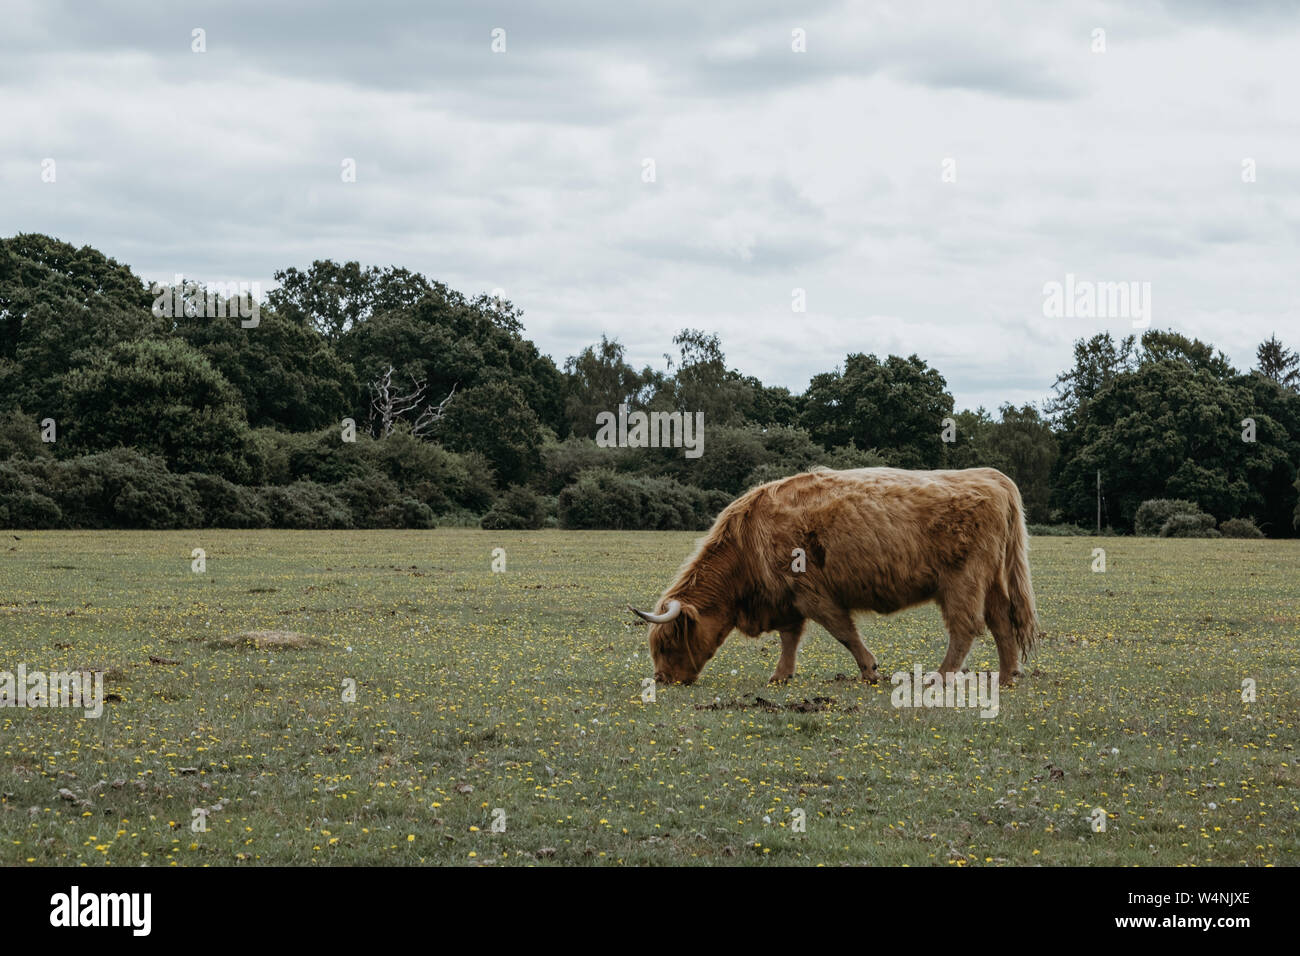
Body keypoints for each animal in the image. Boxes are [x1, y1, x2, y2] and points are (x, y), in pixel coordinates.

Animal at [629, 467, 1041, 688]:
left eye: (667, 643)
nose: (662, 679)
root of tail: (991, 477)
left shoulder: (812, 593)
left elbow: (843, 632)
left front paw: (870, 670)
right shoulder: (788, 600)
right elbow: (790, 638)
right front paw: (781, 676)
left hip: (962, 581)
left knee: (965, 627)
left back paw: (938, 677)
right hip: (991, 581)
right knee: (1002, 622)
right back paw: (1008, 676)